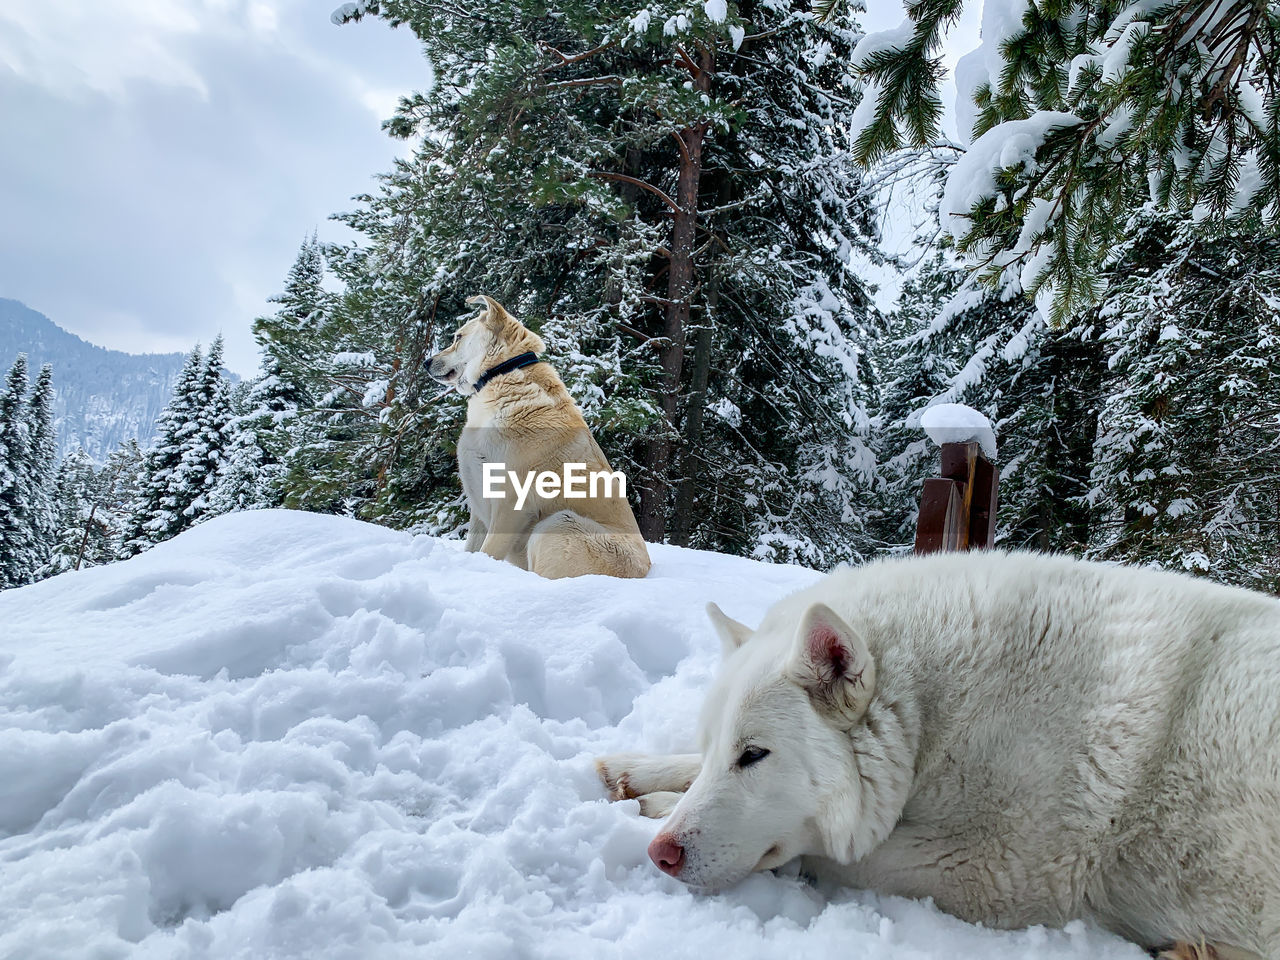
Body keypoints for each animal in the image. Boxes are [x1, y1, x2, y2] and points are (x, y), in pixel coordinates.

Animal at [427, 295, 650, 578]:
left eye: (457, 337)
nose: (426, 363)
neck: (502, 374)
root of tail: (645, 571)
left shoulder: (510, 505)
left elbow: (488, 552)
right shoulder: (478, 503)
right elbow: (473, 549)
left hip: (557, 522)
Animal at [596, 547, 1280, 960]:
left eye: (755, 755)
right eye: (717, 750)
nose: (661, 855)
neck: (935, 714)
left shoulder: (989, 871)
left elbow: (826, 852)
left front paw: (657, 806)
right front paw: (638, 774)